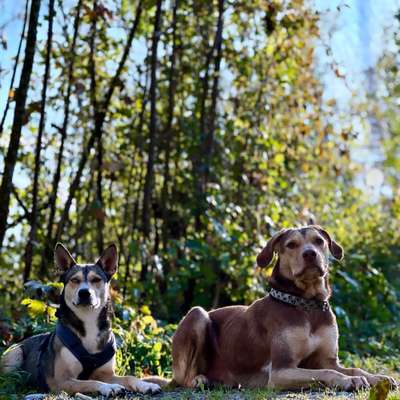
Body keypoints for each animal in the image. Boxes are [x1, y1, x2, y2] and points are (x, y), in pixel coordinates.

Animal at [1, 242, 161, 396]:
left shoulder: (106, 374)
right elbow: (89, 382)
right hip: (16, 354)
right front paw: (109, 388)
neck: (88, 320)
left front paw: (147, 385)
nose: (84, 293)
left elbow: (129, 377)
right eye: (74, 280)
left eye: (96, 279)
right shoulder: (60, 381)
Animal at [171, 225, 396, 390]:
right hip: (197, 314)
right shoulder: (281, 370)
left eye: (319, 241)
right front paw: (347, 381)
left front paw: (377, 377)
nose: (310, 254)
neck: (307, 304)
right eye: (291, 244)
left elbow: (354, 369)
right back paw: (200, 380)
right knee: (184, 378)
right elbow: (325, 373)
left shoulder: (328, 360)